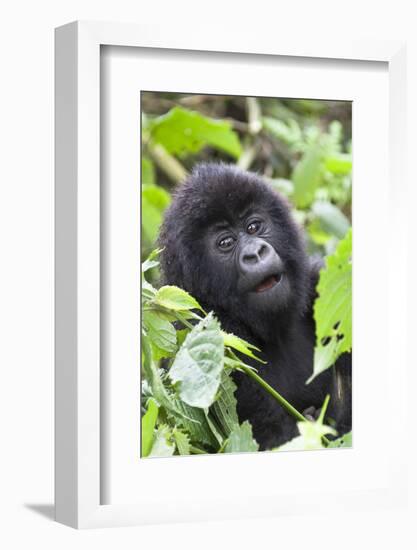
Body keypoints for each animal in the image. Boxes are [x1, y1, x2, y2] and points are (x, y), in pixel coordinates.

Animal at [158, 162, 350, 450]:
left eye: (253, 227)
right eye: (226, 243)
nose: (256, 253)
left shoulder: (321, 285)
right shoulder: (207, 332)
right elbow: (272, 436)